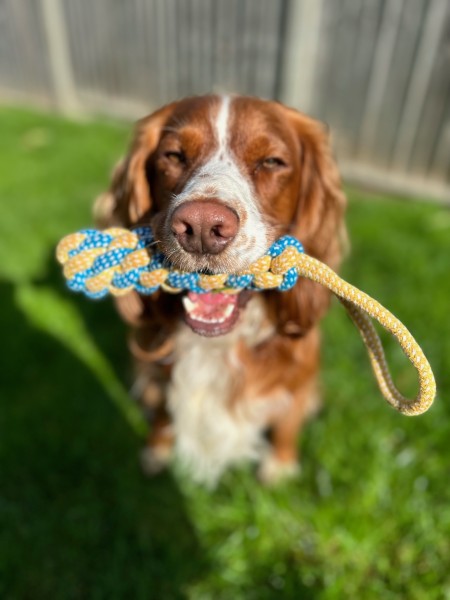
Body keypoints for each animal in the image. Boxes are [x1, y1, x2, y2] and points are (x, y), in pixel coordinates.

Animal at [95, 95, 346, 488]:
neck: (218, 344)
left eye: (272, 162)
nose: (200, 227)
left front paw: (280, 464)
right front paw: (156, 450)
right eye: (173, 155)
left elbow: (288, 419)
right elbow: (163, 411)